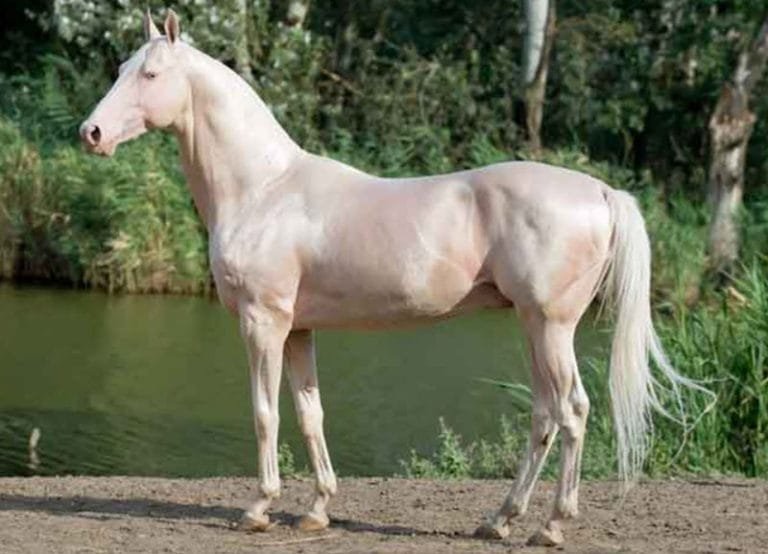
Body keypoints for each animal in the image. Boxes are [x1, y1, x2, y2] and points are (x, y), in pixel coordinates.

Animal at [80, 9, 702, 546]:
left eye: (150, 74)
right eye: (120, 68)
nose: (92, 133)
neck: (264, 189)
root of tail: (600, 191)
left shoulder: (263, 324)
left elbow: (264, 414)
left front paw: (258, 508)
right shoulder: (298, 330)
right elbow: (310, 415)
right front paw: (316, 510)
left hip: (550, 325)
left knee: (571, 411)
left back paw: (550, 527)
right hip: (533, 326)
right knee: (545, 415)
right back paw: (499, 520)